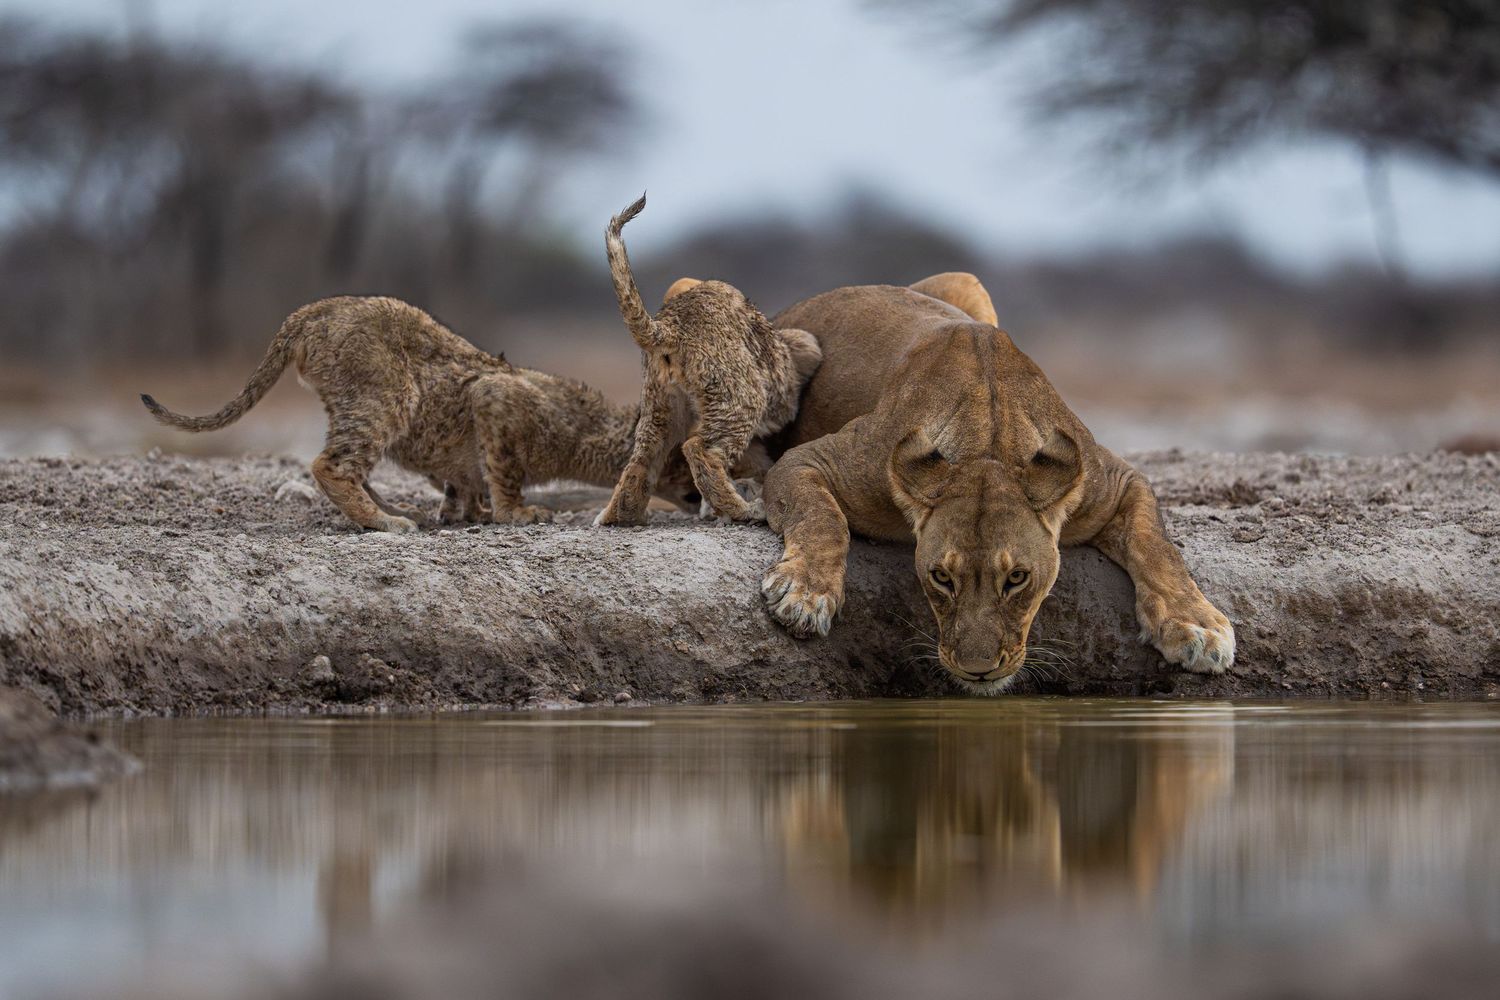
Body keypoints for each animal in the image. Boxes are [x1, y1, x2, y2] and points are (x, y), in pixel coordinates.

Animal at [141, 296, 700, 531]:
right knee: (330, 465)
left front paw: (465, 514)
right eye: (683, 467)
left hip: (350, 401)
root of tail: (308, 312)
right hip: (388, 395)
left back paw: (398, 512)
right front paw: (517, 513)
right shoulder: (494, 397)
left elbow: (464, 482)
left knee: (347, 464)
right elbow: (503, 470)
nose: (698, 497)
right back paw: (386, 523)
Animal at [595, 194, 822, 525]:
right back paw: (744, 510)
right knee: (700, 450)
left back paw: (619, 516)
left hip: (660, 408)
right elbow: (809, 346)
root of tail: (668, 326)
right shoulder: (794, 350)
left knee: (642, 460)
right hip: (741, 396)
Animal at [758, 277, 1235, 690]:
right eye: (941, 577)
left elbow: (1156, 545)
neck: (989, 442)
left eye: (1017, 578)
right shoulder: (817, 459)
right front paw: (805, 593)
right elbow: (822, 518)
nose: (978, 670)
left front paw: (1197, 626)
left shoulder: (1116, 480)